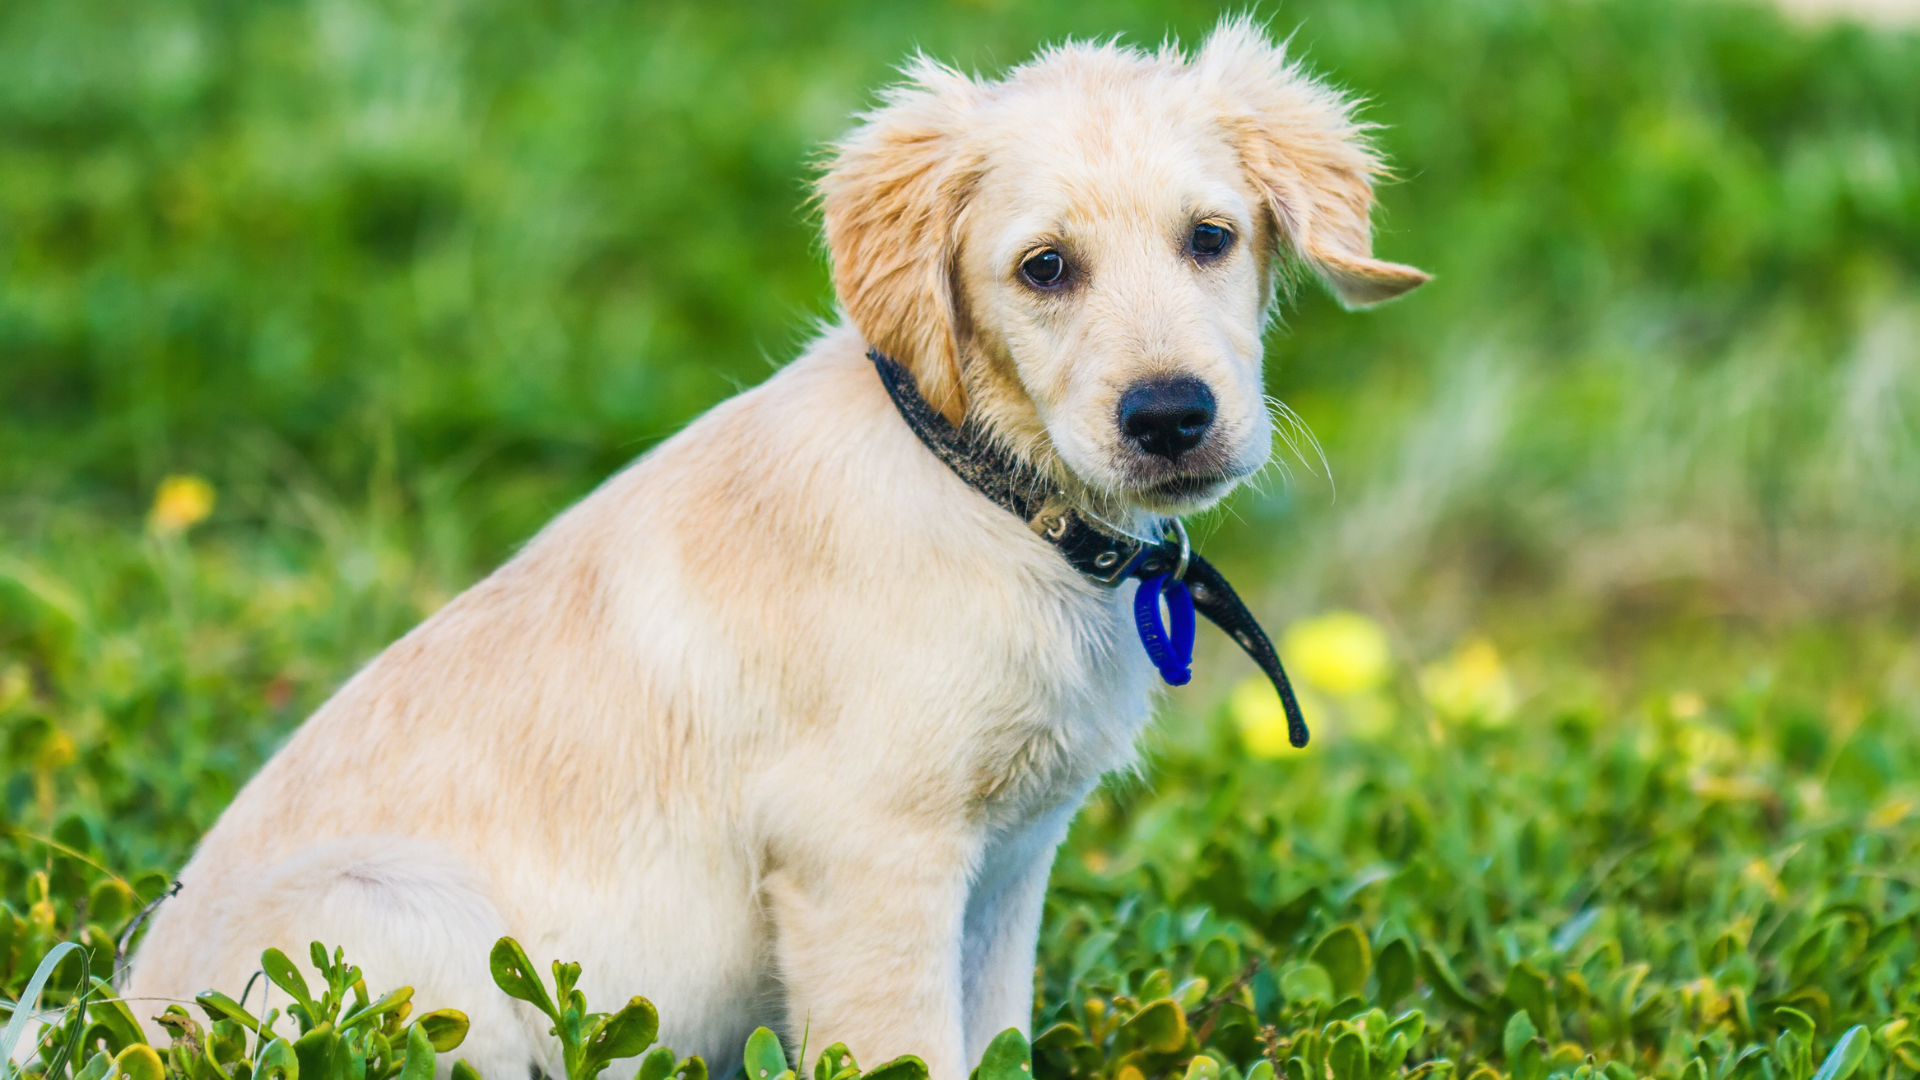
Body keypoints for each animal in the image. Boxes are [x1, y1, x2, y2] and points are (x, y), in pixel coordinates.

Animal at [127, 14, 1428, 1076]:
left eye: (1210, 238)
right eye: (1045, 268)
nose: (1169, 417)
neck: (992, 493)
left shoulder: (1006, 868)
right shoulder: (868, 858)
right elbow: (909, 1054)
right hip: (410, 920)